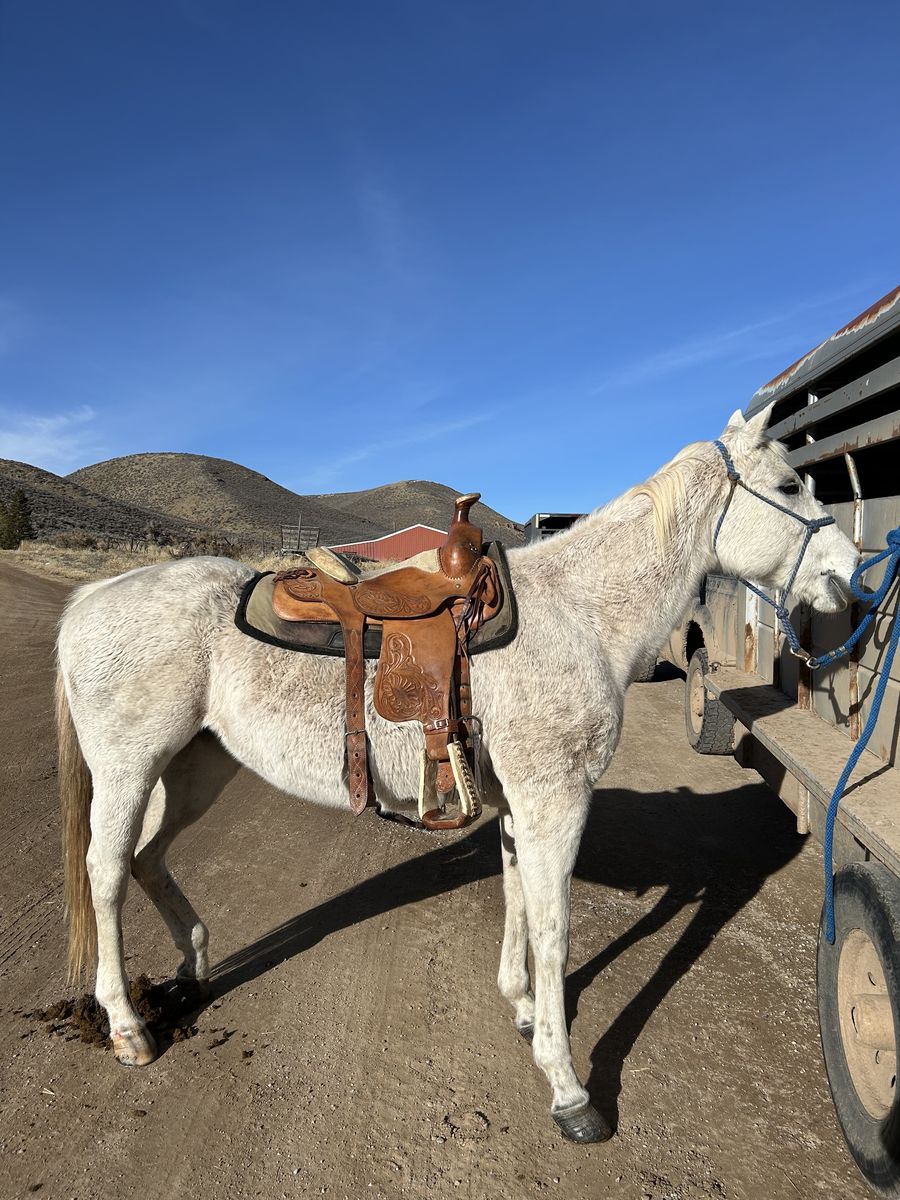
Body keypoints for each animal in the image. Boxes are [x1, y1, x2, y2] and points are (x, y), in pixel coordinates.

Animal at [55, 404, 859, 1142]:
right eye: (789, 483)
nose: (849, 572)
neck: (582, 615)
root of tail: (89, 600)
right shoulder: (556, 802)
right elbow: (554, 931)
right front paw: (569, 1089)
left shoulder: (520, 807)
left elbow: (518, 904)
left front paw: (525, 1011)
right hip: (130, 769)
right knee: (107, 872)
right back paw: (128, 1028)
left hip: (197, 767)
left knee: (147, 859)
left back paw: (192, 967)